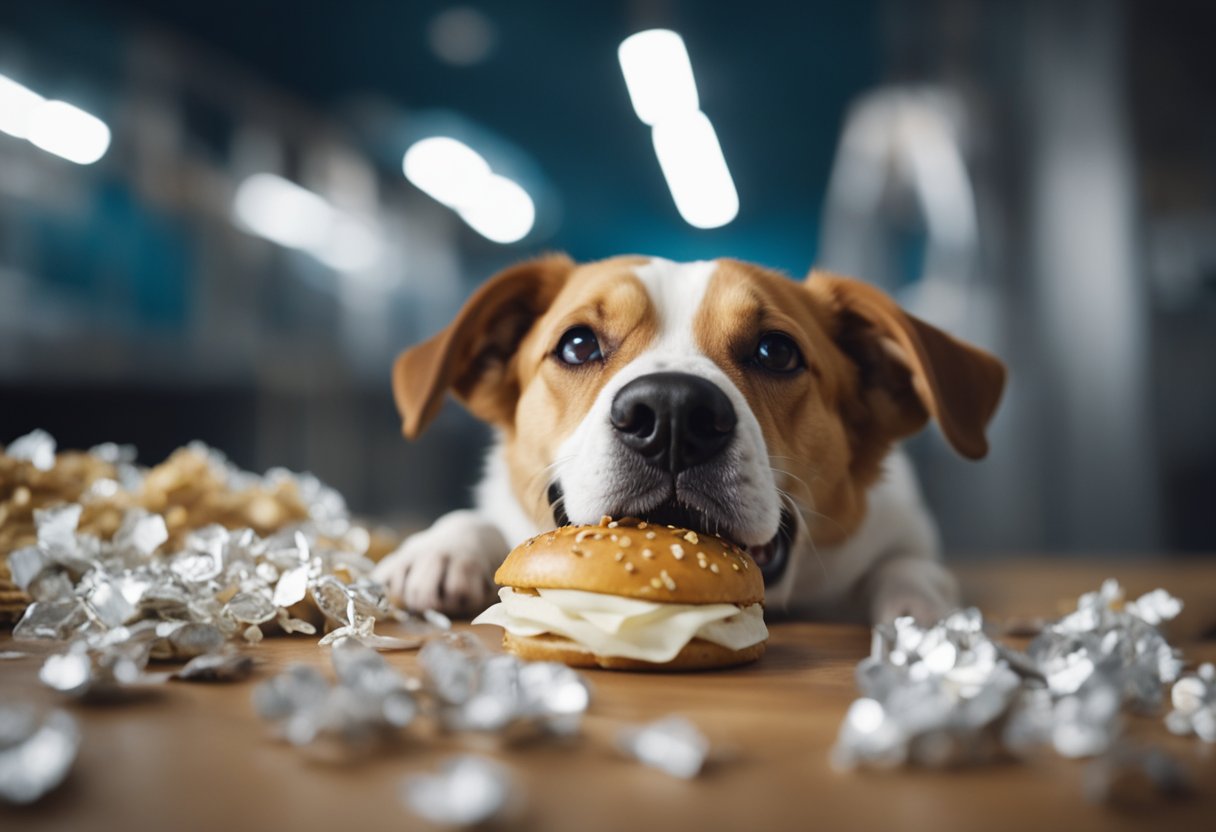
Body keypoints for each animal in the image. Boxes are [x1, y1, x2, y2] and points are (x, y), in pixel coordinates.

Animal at [372, 253, 1006, 622]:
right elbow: (484, 520)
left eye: (776, 352)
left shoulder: (906, 530)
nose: (671, 413)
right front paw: (444, 547)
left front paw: (917, 602)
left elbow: (908, 565)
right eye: (577, 344)